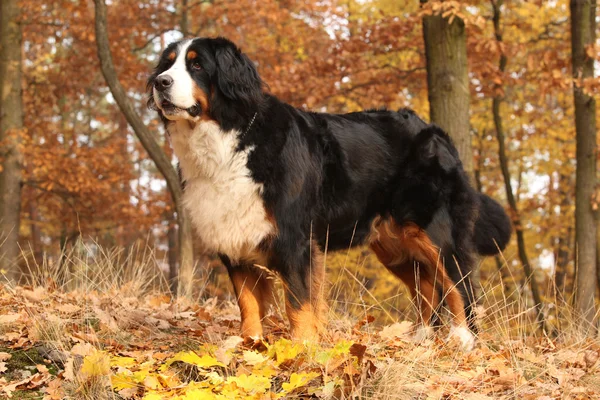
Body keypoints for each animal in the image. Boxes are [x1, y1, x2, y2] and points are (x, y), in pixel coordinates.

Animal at [146, 37, 510, 350]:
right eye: (167, 63)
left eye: (197, 65)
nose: (160, 82)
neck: (229, 142)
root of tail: (435, 130)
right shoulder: (234, 238)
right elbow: (247, 303)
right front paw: (250, 345)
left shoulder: (294, 241)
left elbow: (298, 302)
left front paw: (302, 348)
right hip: (394, 245)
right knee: (426, 289)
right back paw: (420, 339)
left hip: (433, 230)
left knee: (458, 282)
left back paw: (463, 338)